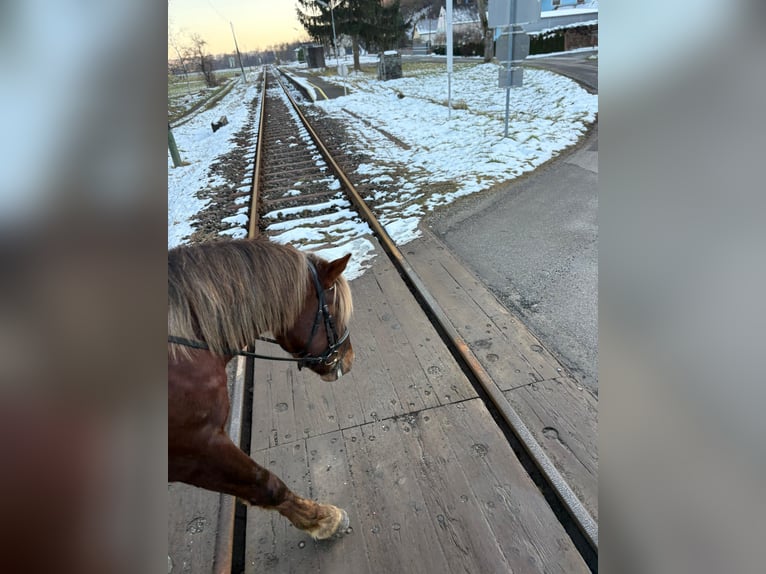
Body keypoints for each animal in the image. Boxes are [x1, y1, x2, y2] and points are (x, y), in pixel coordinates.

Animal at [168, 237, 354, 539]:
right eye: (336, 311)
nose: (349, 358)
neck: (185, 349)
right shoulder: (198, 446)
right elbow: (265, 484)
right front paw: (321, 519)